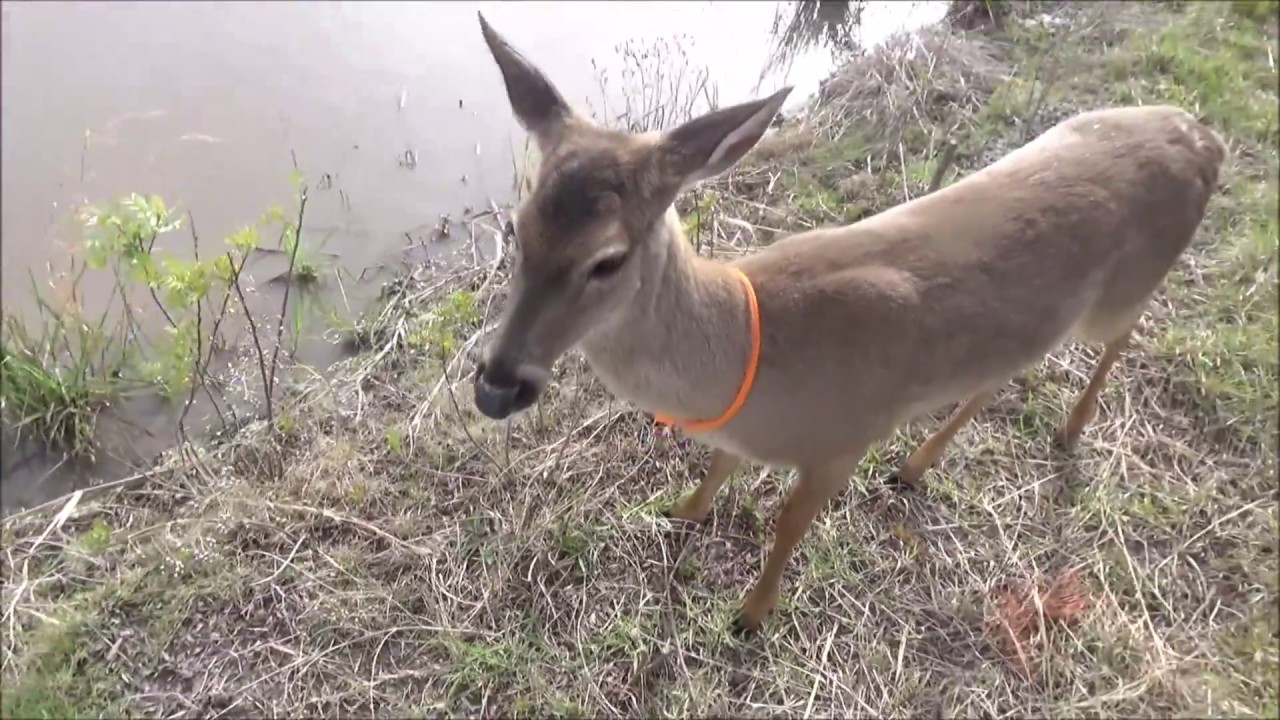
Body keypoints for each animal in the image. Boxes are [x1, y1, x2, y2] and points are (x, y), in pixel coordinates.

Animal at [470, 12, 1227, 633]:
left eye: (608, 259)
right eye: (515, 228)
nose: (497, 384)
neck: (749, 352)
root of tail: (1205, 138)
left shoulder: (849, 434)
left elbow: (788, 523)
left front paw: (751, 614)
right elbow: (718, 467)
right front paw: (681, 511)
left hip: (1125, 290)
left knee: (1125, 333)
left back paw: (1069, 430)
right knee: (1005, 369)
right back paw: (916, 466)